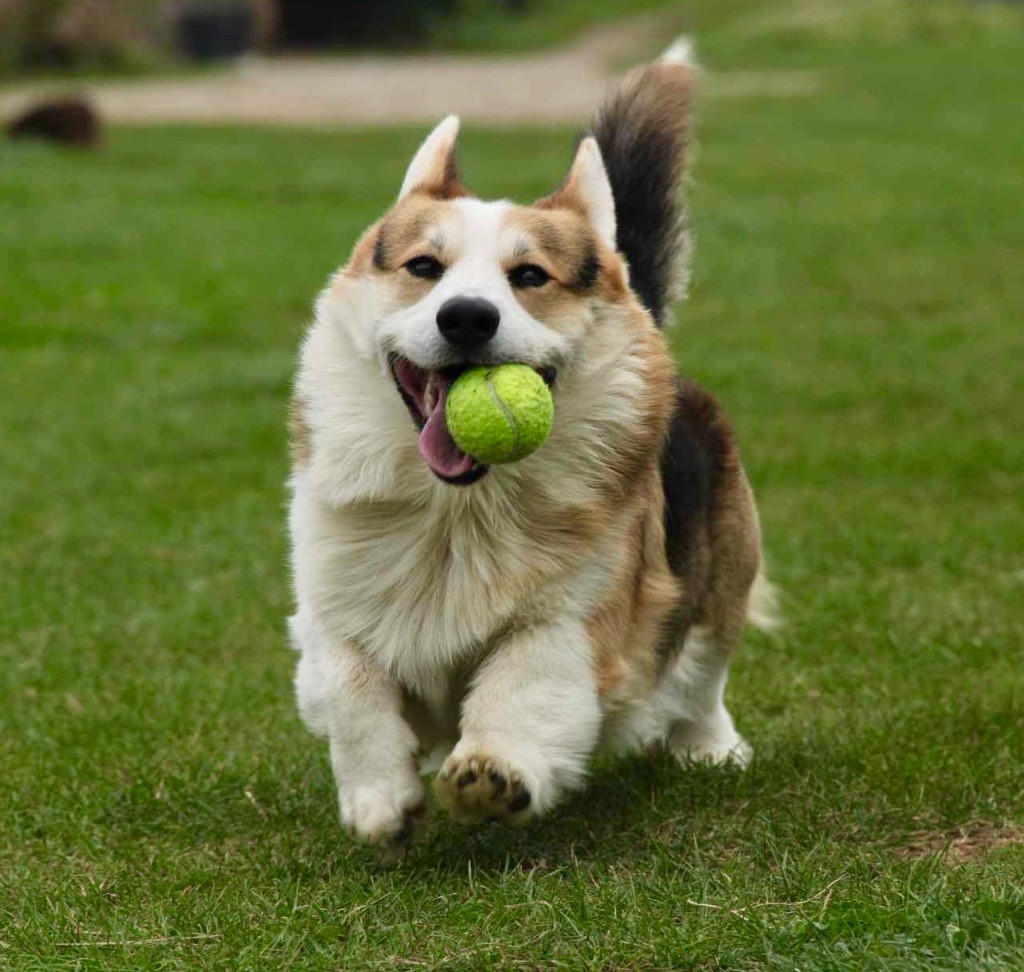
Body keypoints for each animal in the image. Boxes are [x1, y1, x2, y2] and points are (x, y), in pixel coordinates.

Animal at [284, 41, 770, 852]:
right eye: (424, 267)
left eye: (530, 276)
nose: (466, 318)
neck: (460, 509)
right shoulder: (330, 606)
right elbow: (353, 686)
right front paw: (380, 800)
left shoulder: (571, 618)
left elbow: (524, 684)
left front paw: (494, 773)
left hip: (721, 567)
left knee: (703, 667)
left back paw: (710, 747)